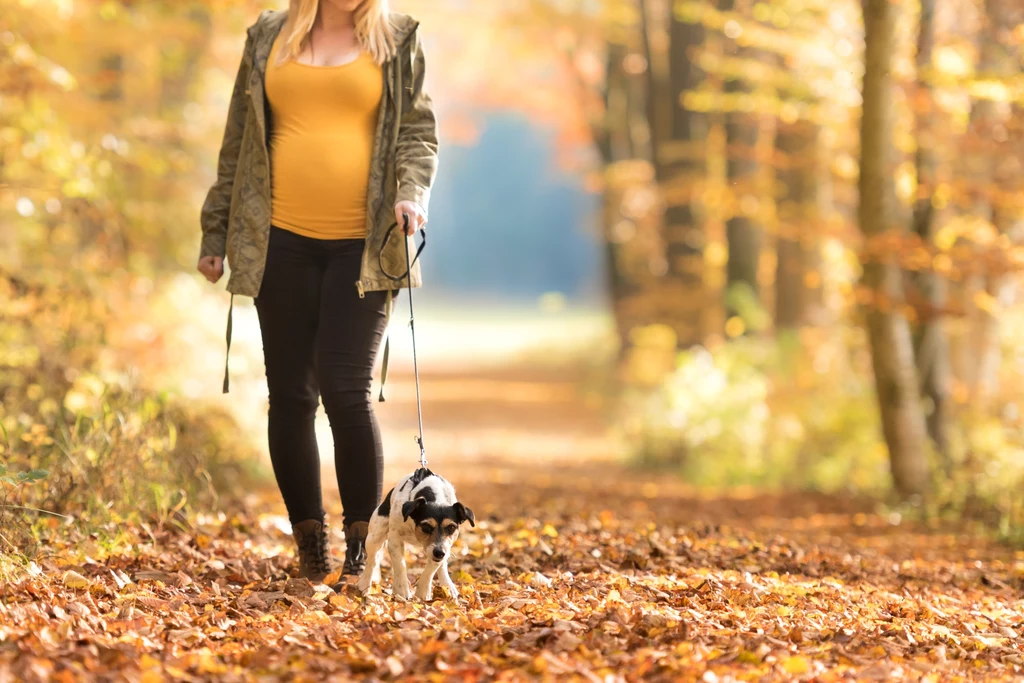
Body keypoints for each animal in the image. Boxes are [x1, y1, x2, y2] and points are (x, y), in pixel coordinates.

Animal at [356, 466, 475, 602]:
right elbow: (400, 564)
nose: (439, 553)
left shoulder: (442, 547)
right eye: (426, 526)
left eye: (451, 527)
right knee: (372, 561)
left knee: (443, 565)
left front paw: (423, 591)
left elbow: (432, 567)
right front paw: (401, 590)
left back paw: (448, 585)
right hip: (374, 536)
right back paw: (364, 584)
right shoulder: (394, 539)